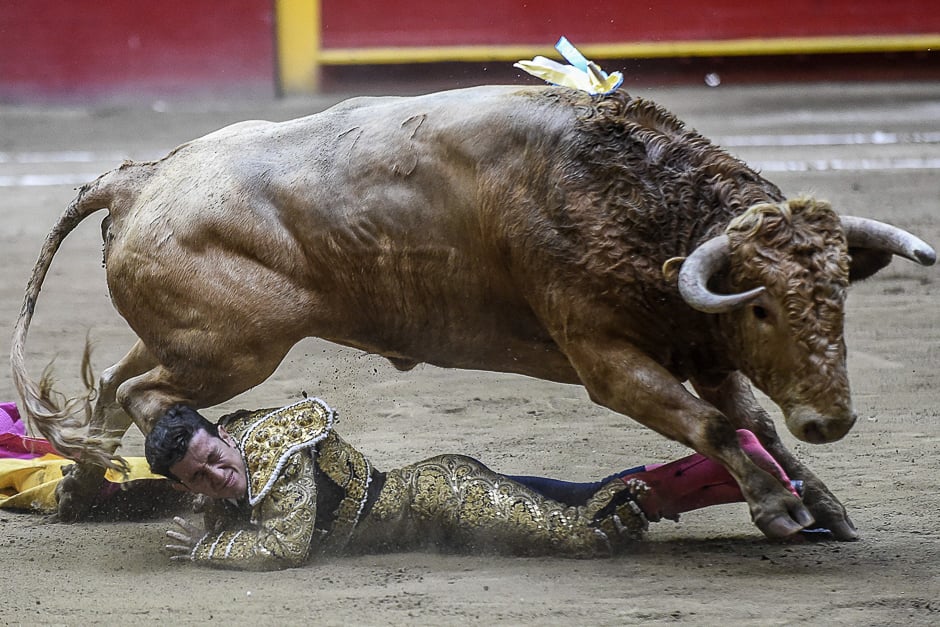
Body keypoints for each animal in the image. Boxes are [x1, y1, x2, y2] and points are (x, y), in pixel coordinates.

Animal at [11, 86, 936, 544]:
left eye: (839, 291)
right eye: (766, 307)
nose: (831, 417)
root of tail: (140, 177)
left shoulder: (699, 346)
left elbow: (750, 423)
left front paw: (823, 504)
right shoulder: (605, 357)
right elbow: (711, 424)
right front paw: (778, 507)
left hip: (200, 342)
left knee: (112, 388)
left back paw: (86, 492)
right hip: (234, 350)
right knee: (140, 395)